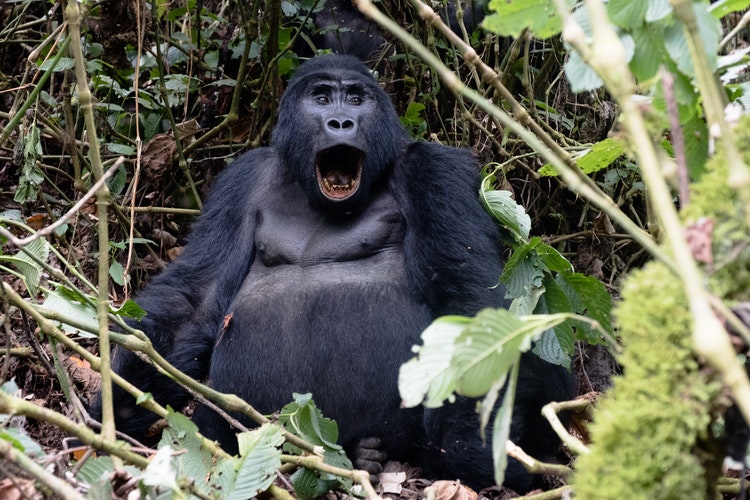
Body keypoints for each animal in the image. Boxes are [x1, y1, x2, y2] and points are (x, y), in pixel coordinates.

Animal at [95, 54, 576, 492]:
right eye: (322, 98)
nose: (342, 121)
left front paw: (472, 452)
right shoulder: (242, 179)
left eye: (357, 100)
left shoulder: (433, 169)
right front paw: (118, 404)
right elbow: (197, 298)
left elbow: (471, 299)